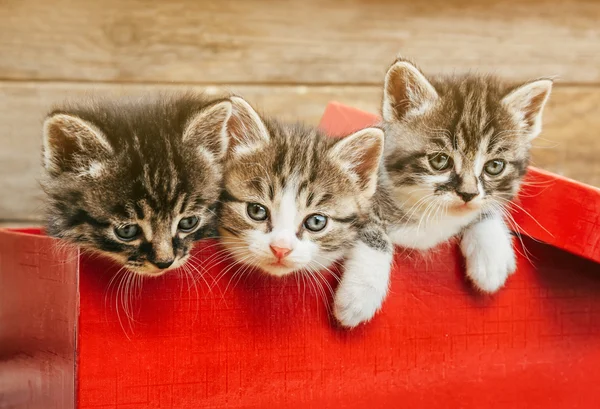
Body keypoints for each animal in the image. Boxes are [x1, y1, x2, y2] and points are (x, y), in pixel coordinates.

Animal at [332, 58, 552, 326]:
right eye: (439, 161)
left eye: (494, 166)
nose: (468, 194)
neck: (432, 214)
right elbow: (371, 230)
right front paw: (360, 294)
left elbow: (487, 208)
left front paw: (491, 255)